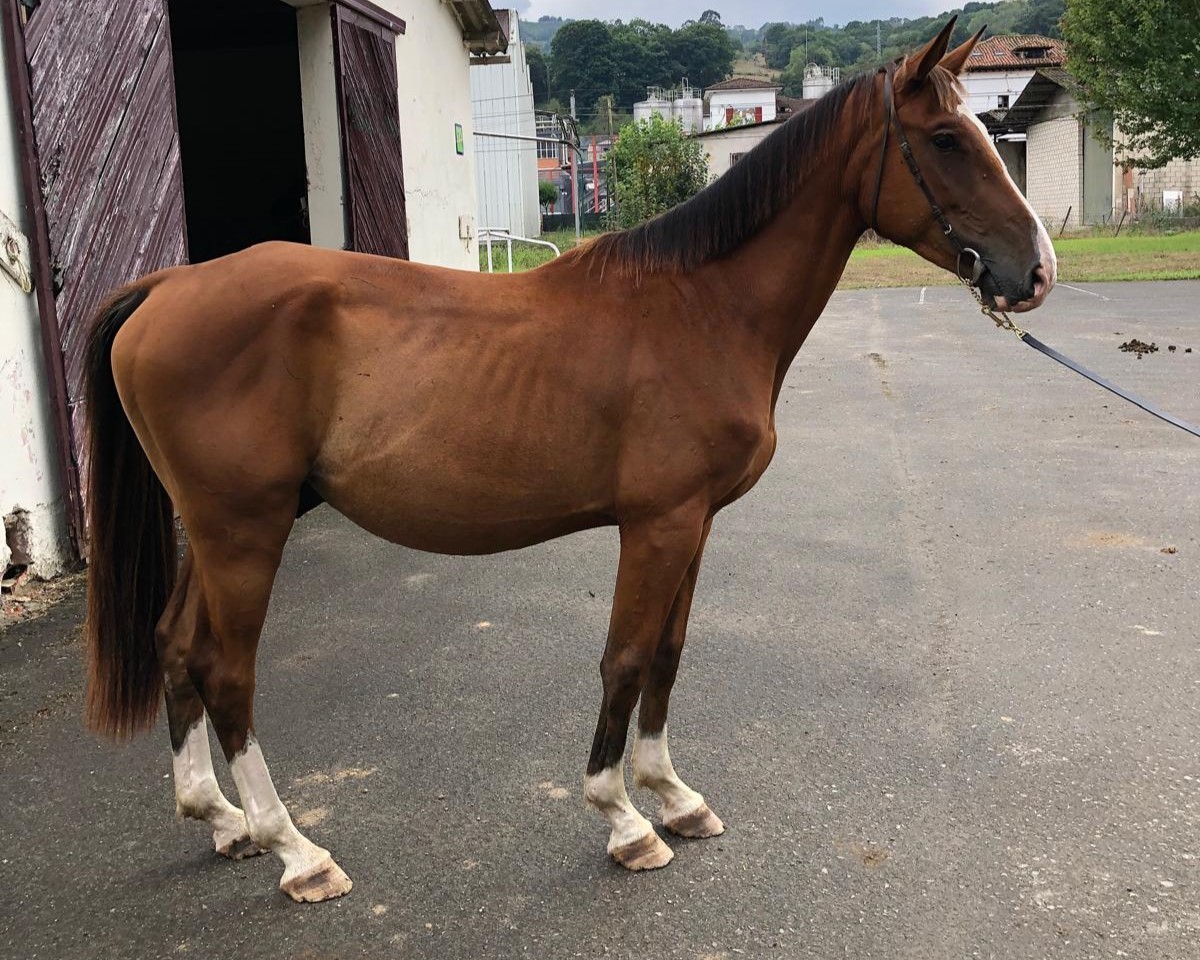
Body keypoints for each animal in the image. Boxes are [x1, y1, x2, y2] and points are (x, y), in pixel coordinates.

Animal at [82, 19, 1055, 903]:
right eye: (945, 140)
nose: (1035, 272)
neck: (700, 307)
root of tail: (169, 286)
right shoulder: (657, 524)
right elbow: (624, 659)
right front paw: (624, 819)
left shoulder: (693, 523)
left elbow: (667, 653)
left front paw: (674, 798)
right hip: (243, 532)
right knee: (226, 672)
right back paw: (296, 850)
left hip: (222, 531)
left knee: (175, 646)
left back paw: (221, 820)